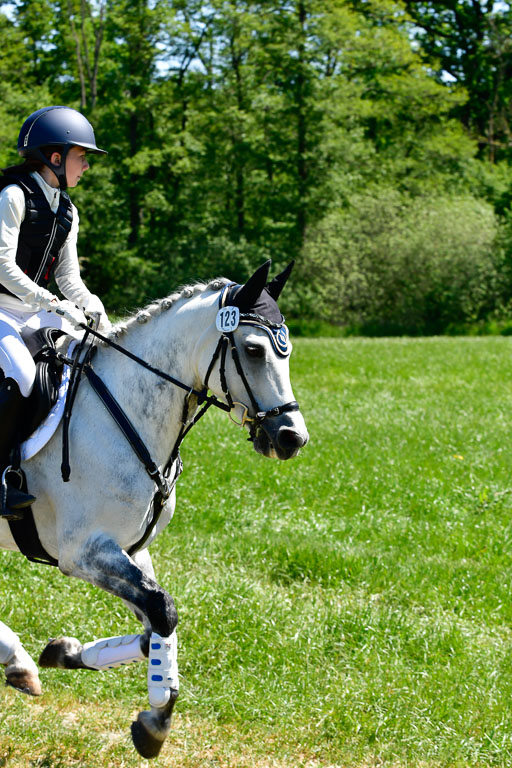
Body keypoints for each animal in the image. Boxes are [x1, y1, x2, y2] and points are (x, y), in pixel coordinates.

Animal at [0, 260, 308, 760]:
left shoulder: (129, 549)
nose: (291, 437)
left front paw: (67, 652)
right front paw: (156, 721)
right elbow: (163, 610)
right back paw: (17, 659)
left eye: (286, 351)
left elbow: (155, 629)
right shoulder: (83, 551)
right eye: (254, 348)